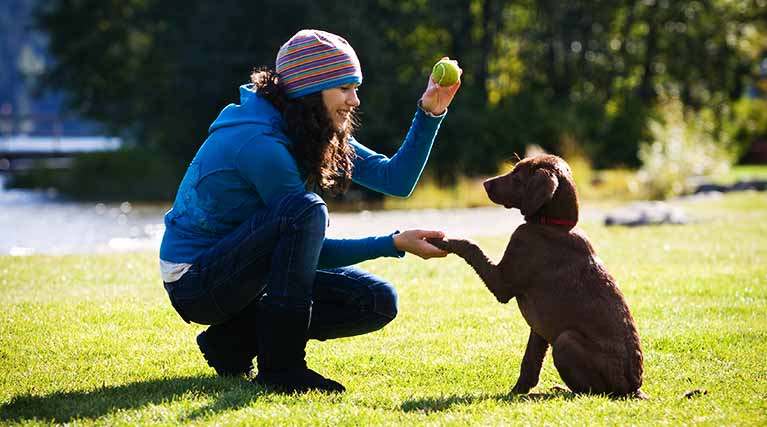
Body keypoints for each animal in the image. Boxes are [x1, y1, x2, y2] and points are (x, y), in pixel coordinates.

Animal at [428, 155, 644, 400]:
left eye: (516, 175)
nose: (484, 184)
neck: (553, 225)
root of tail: (633, 389)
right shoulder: (539, 329)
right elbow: (530, 363)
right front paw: (517, 391)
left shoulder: (502, 283)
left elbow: (470, 246)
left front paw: (440, 240)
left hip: (565, 340)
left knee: (592, 392)